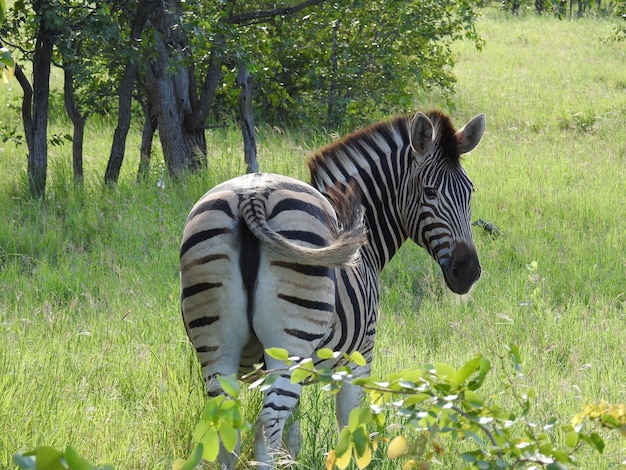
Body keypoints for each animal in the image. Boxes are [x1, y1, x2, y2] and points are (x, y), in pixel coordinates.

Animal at [178, 109, 486, 466]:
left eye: (470, 192)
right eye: (430, 192)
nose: (469, 272)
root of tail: (252, 196)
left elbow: (293, 436)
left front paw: (292, 463)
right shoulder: (360, 358)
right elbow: (349, 430)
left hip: (217, 347)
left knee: (230, 434)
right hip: (290, 343)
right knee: (265, 429)